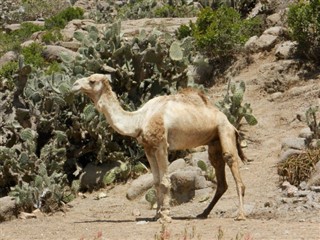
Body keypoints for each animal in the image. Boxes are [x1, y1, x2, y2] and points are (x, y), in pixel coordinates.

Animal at [72, 73, 248, 221]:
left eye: (92, 80)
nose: (74, 85)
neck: (140, 119)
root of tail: (231, 124)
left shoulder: (162, 145)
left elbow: (164, 181)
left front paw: (166, 215)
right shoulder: (148, 148)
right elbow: (156, 181)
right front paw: (156, 215)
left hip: (224, 130)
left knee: (230, 160)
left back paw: (240, 215)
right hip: (214, 142)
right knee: (220, 175)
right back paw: (203, 213)